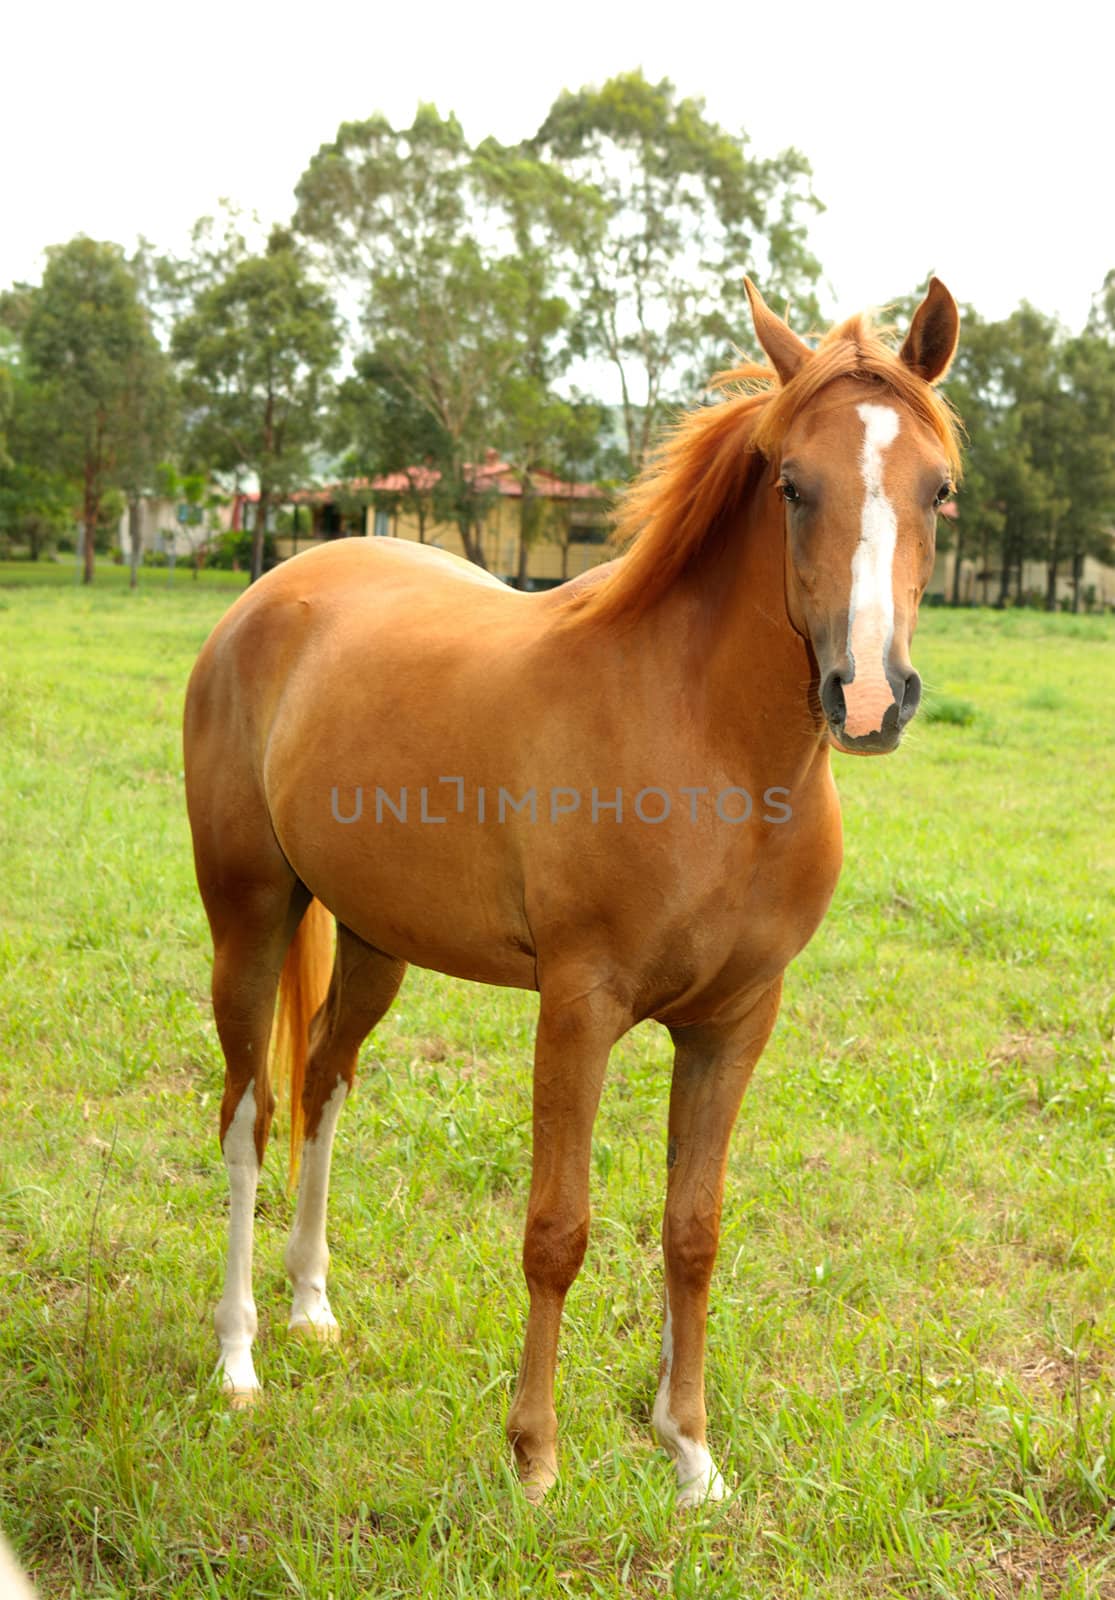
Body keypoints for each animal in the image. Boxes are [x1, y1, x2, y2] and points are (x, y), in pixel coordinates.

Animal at [182, 281, 959, 1504]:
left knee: (322, 1081)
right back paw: (239, 1356)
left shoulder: (734, 1023)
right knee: (248, 1114)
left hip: (373, 940)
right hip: (249, 921)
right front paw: (536, 1460)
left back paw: (311, 1307)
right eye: (792, 483)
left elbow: (693, 1230)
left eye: (939, 489)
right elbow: (557, 1229)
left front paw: (689, 1455)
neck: (710, 752)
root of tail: (271, 591)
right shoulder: (578, 1008)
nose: (870, 696)